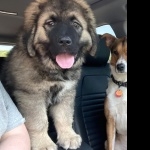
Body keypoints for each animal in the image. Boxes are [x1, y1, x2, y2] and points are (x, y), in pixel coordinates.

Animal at [1, 0, 96, 149]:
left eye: (76, 25)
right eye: (50, 23)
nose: (65, 41)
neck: (53, 70)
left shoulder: (66, 92)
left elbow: (64, 116)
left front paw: (68, 136)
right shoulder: (31, 95)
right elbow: (39, 121)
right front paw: (42, 143)